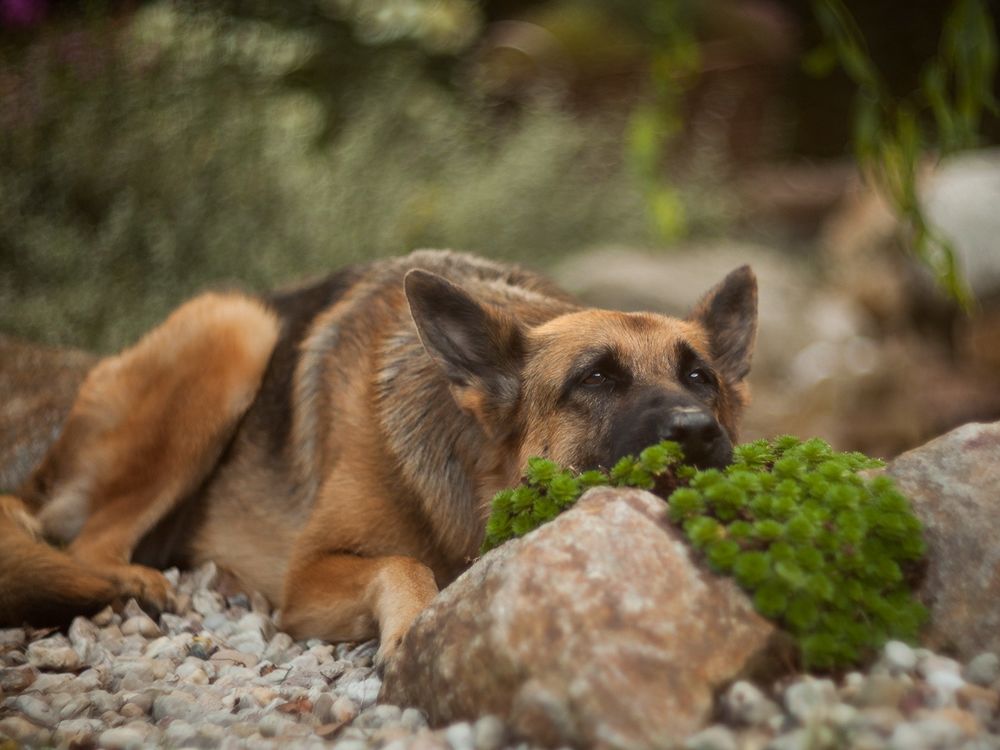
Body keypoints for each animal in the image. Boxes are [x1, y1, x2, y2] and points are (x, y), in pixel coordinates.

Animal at [0, 253, 752, 664]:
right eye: (596, 379)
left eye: (700, 379)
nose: (695, 431)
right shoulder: (308, 579)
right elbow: (402, 562)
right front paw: (414, 628)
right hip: (237, 327)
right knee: (91, 542)